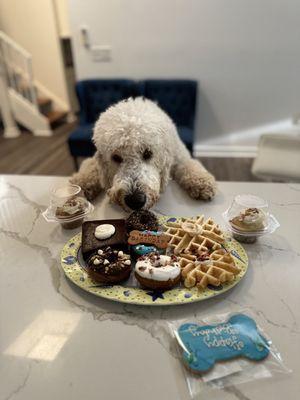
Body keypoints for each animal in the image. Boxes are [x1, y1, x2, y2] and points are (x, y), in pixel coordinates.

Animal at [71, 97, 216, 211]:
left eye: (148, 153)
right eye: (115, 157)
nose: (135, 200)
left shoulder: (179, 155)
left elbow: (189, 165)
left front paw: (202, 183)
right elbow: (90, 167)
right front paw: (81, 184)